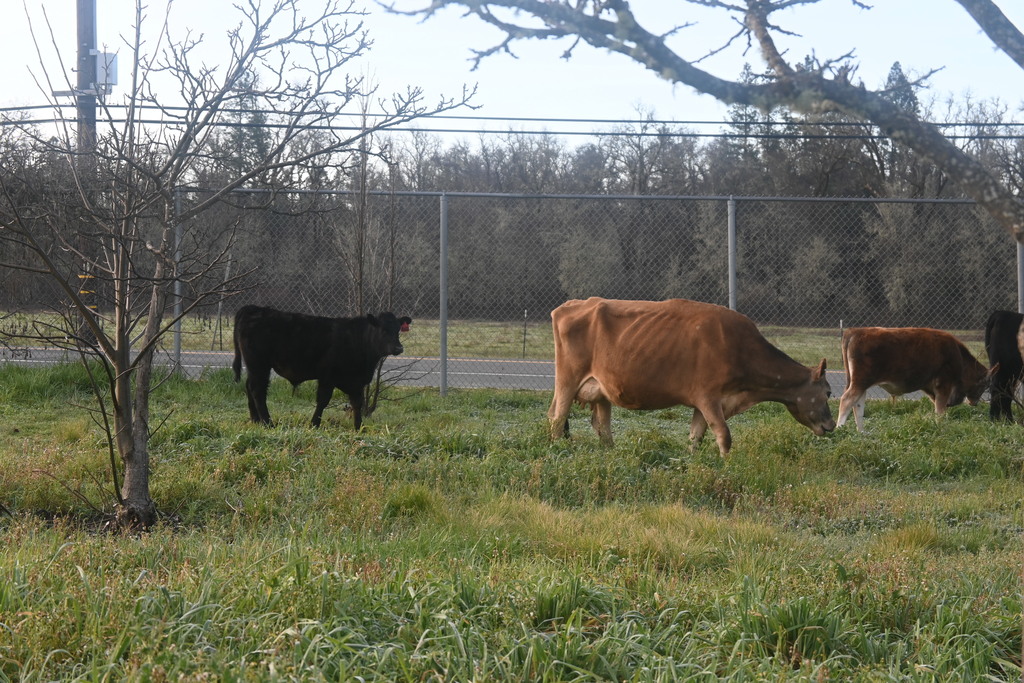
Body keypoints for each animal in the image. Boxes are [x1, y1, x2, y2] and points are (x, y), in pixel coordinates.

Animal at [232, 305, 411, 429]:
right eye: (383, 329)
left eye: (398, 330)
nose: (398, 348)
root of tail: (253, 308)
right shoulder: (327, 376)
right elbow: (323, 401)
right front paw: (314, 424)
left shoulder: (356, 382)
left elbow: (357, 403)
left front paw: (359, 427)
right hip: (259, 364)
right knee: (257, 390)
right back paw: (268, 423)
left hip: (255, 367)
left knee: (249, 387)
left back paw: (255, 420)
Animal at [547, 297, 835, 455]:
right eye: (829, 392)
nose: (832, 425)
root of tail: (571, 305)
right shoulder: (708, 397)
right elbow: (724, 435)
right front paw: (727, 465)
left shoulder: (702, 403)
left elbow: (696, 437)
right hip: (567, 381)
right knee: (558, 419)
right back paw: (558, 450)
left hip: (601, 389)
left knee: (602, 426)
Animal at [836, 326, 993, 431]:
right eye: (985, 386)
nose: (974, 402)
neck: (958, 356)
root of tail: (855, 332)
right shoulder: (943, 385)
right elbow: (940, 411)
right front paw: (940, 427)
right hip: (860, 382)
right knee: (847, 400)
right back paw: (840, 429)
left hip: (860, 384)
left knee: (858, 405)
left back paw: (861, 432)